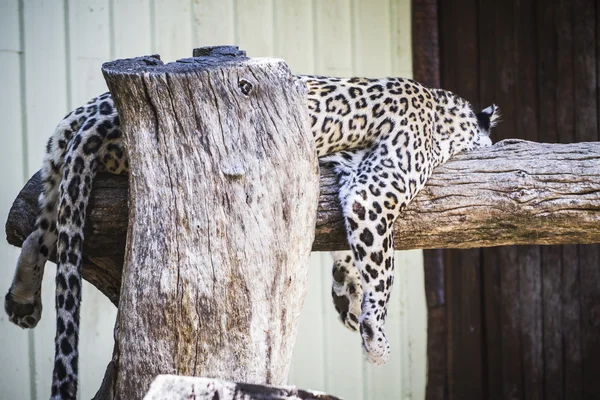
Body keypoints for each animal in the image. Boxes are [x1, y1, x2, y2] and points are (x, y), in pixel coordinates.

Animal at [4, 73, 500, 398]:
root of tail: (95, 117)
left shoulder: (352, 177)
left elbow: (356, 252)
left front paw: (346, 297)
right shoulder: (373, 190)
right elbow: (383, 268)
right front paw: (375, 338)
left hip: (57, 161)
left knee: (40, 226)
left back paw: (22, 300)